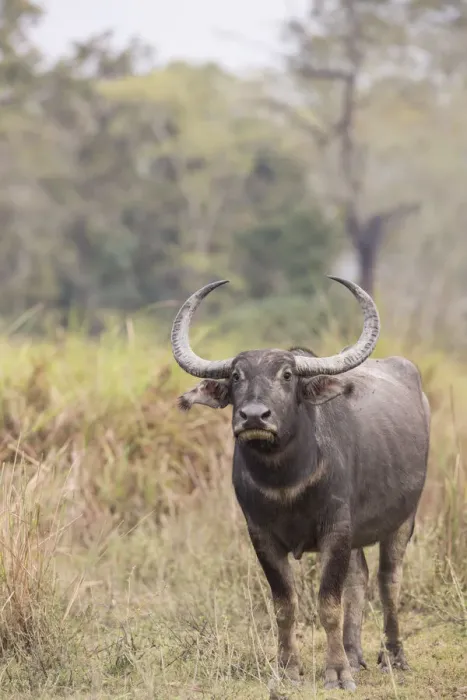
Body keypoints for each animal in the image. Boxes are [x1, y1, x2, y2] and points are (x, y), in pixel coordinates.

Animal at [171, 277, 430, 692]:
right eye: (236, 376)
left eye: (287, 375)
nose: (254, 416)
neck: (286, 481)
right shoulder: (261, 535)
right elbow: (285, 605)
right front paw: (288, 668)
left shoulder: (335, 529)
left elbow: (327, 603)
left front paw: (336, 673)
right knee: (359, 577)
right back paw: (354, 653)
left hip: (404, 519)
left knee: (389, 581)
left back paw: (392, 656)